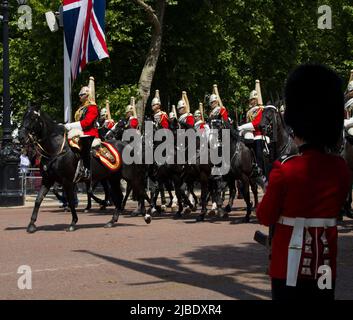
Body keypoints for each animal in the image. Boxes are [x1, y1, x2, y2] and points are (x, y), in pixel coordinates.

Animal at [18, 105, 150, 232]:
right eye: (24, 116)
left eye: (33, 118)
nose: (21, 137)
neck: (56, 150)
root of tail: (129, 146)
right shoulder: (48, 179)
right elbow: (38, 199)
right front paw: (31, 224)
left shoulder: (68, 181)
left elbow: (72, 200)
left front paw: (73, 222)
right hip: (113, 178)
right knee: (120, 196)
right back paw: (112, 221)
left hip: (131, 176)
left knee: (141, 191)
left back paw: (147, 214)